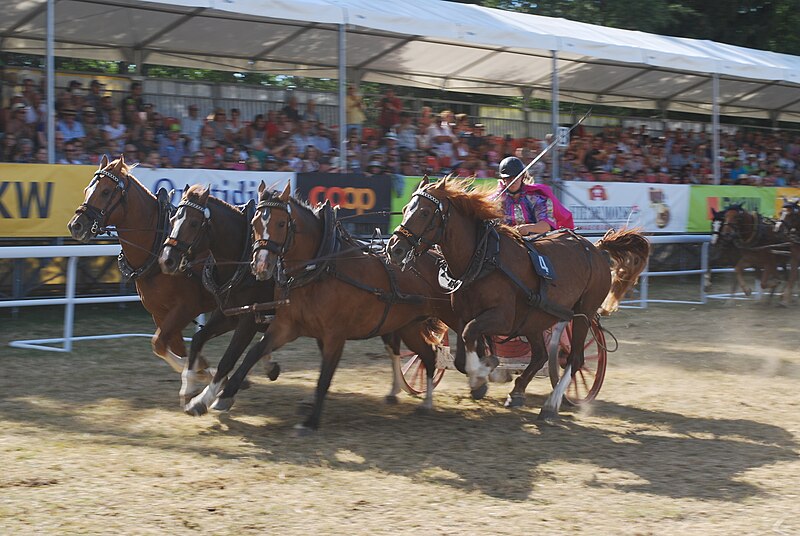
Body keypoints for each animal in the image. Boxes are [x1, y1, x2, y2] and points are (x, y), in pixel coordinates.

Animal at [189, 182, 462, 434]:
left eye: (281, 223)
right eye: (255, 223)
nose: (261, 266)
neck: (319, 267)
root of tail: (436, 255)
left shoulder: (333, 335)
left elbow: (323, 377)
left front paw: (310, 421)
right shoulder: (283, 326)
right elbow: (250, 354)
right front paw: (210, 397)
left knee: (443, 350)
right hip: (406, 325)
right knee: (422, 354)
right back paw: (411, 397)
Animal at [382, 177, 648, 418]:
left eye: (425, 212)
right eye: (405, 210)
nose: (394, 248)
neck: (483, 259)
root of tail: (597, 248)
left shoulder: (502, 318)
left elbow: (470, 336)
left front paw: (483, 373)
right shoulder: (464, 315)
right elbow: (462, 354)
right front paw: (484, 374)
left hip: (582, 315)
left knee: (574, 358)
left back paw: (551, 405)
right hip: (535, 319)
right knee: (540, 355)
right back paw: (517, 392)